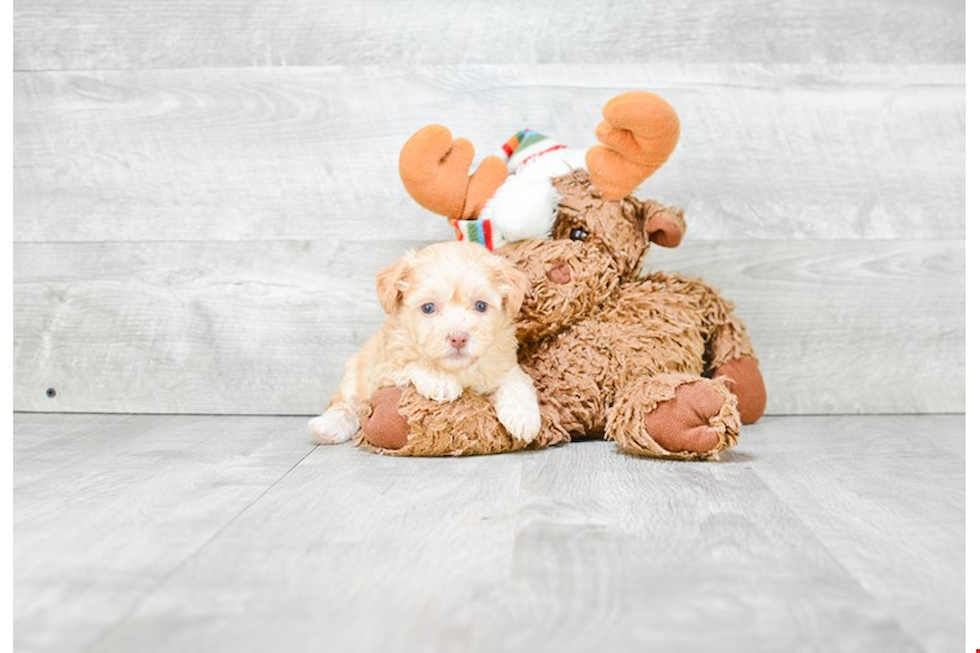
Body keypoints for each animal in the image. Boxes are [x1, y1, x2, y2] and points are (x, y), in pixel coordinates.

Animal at [308, 242, 544, 446]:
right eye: (428, 308)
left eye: (481, 305)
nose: (458, 338)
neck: (457, 369)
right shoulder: (381, 370)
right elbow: (409, 364)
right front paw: (440, 380)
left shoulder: (501, 364)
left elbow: (517, 380)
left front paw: (523, 416)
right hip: (354, 374)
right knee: (345, 404)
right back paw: (327, 427)